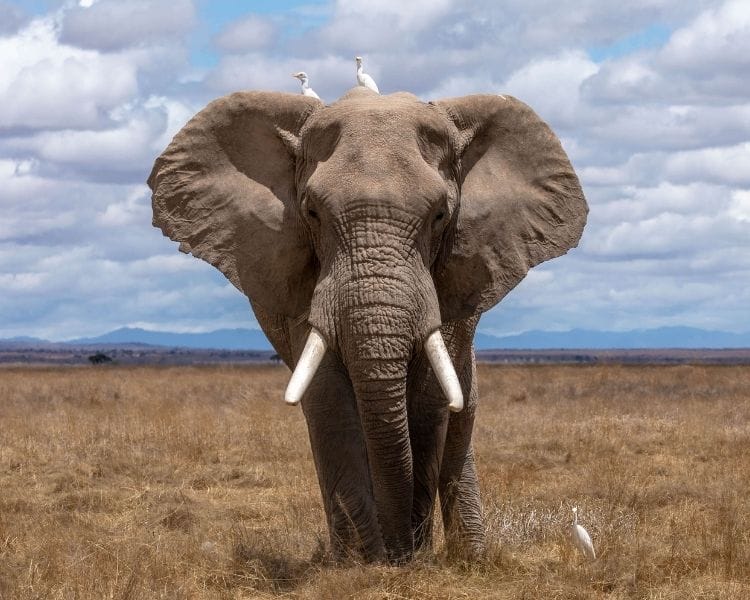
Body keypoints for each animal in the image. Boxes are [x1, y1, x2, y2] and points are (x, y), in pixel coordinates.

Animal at [147, 87, 587, 564]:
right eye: (312, 213)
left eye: (440, 215)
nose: (400, 553)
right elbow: (328, 400)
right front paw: (363, 563)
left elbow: (430, 401)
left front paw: (409, 557)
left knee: (461, 411)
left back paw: (470, 556)